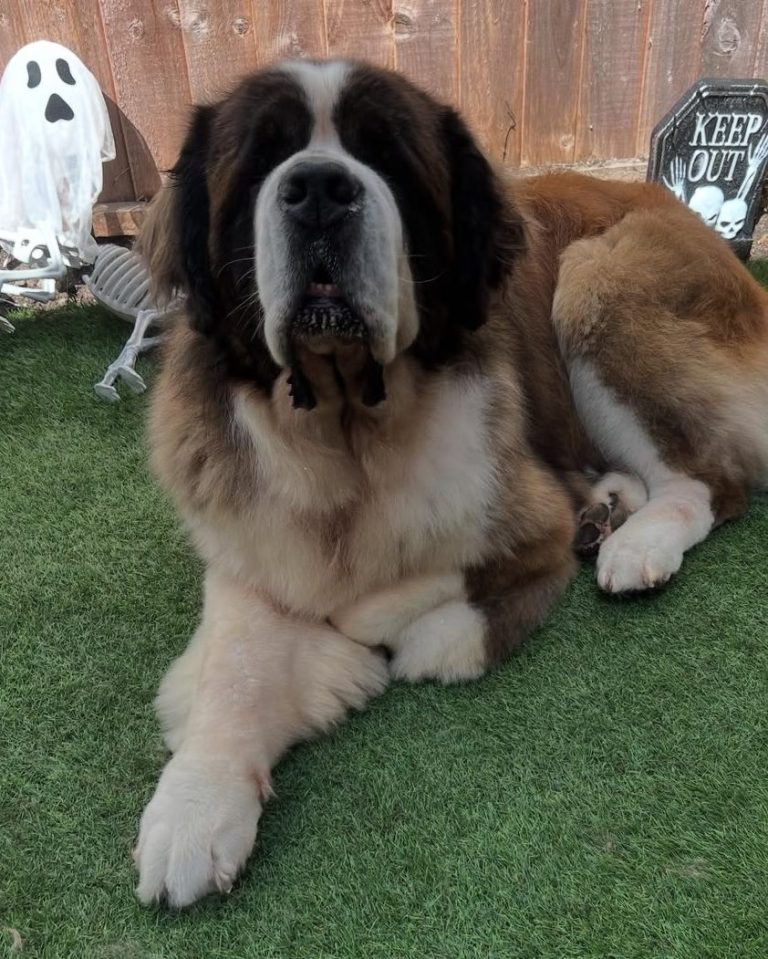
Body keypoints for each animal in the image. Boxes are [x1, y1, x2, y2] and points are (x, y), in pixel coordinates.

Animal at [133, 59, 768, 906]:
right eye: (264, 161)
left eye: (389, 159)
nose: (320, 190)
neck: (347, 430)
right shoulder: (244, 535)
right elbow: (236, 661)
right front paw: (195, 803)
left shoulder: (519, 515)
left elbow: (410, 597)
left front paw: (370, 635)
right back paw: (609, 510)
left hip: (597, 279)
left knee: (711, 480)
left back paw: (636, 546)